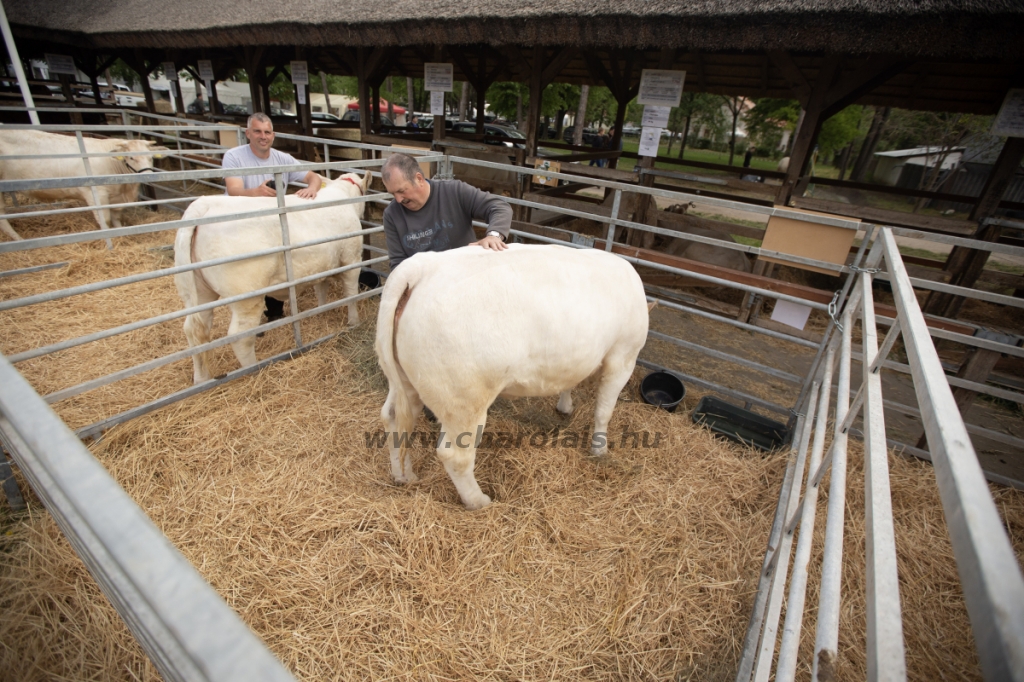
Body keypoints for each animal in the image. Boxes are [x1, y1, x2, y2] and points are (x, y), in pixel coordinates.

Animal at [0, 130, 163, 241]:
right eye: (131, 157)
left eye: (151, 157)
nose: (149, 176)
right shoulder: (95, 193)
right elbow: (105, 220)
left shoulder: (114, 197)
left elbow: (116, 217)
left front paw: (121, 233)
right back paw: (18, 239)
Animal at [175, 169, 372, 382]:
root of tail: (203, 204)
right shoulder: (352, 259)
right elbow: (351, 295)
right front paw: (354, 322)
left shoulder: (323, 265)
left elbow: (321, 289)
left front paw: (322, 312)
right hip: (247, 295)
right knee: (240, 335)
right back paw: (252, 370)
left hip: (197, 292)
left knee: (195, 331)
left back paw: (201, 378)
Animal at [374, 241, 647, 507]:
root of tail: (421, 266)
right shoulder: (624, 356)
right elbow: (604, 411)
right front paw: (600, 449)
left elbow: (569, 380)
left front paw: (565, 406)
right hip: (463, 398)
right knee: (455, 455)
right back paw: (479, 501)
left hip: (405, 382)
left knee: (393, 420)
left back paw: (404, 476)